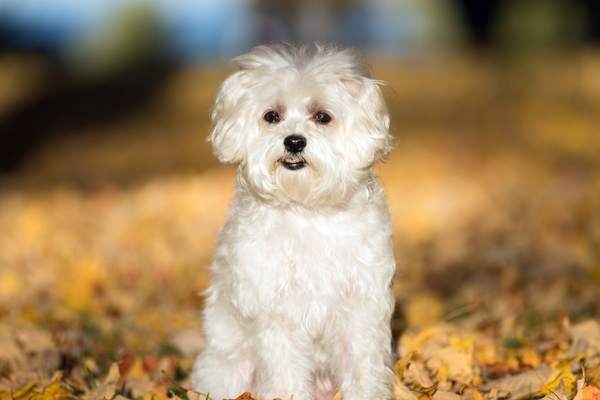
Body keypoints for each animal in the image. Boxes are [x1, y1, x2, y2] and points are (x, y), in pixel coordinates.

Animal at [192, 43, 396, 400]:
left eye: (322, 116)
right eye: (272, 116)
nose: (294, 141)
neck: (307, 209)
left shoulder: (360, 309)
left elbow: (361, 367)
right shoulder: (277, 314)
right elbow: (285, 374)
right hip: (228, 370)